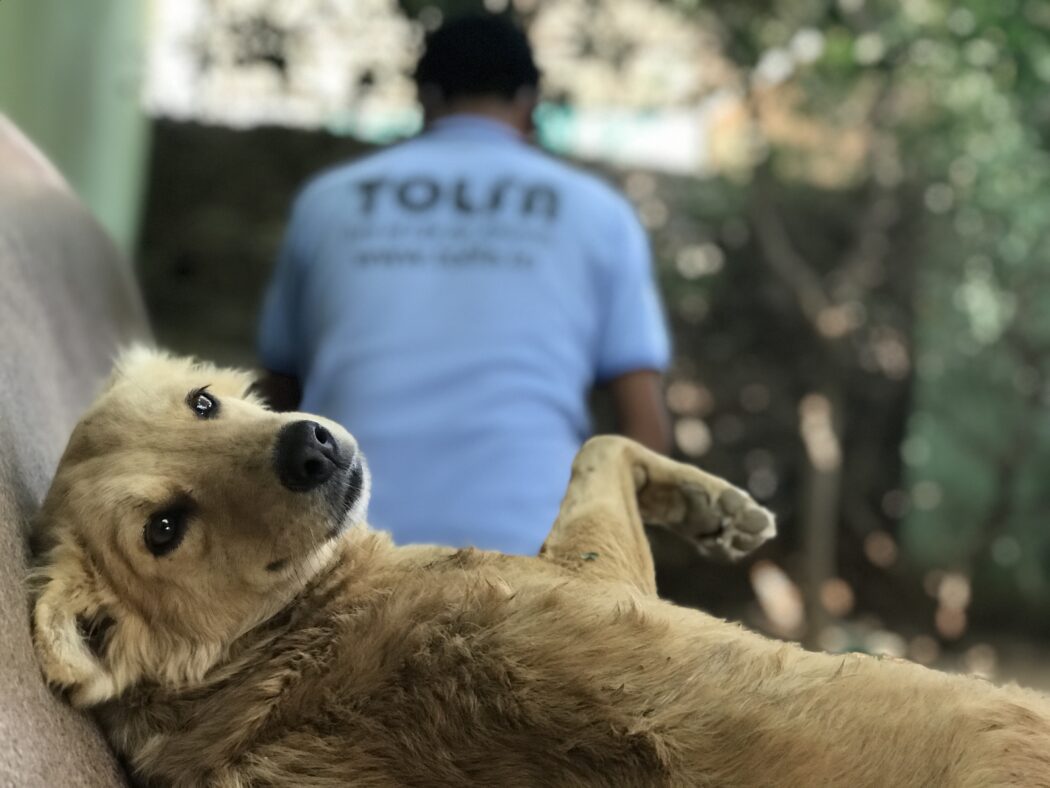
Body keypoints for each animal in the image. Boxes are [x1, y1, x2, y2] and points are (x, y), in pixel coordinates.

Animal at [28, 353, 1050, 788]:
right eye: (165, 528)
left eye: (202, 404)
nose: (311, 448)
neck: (277, 637)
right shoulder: (601, 572)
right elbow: (601, 447)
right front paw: (716, 506)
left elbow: (602, 446)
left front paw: (715, 509)